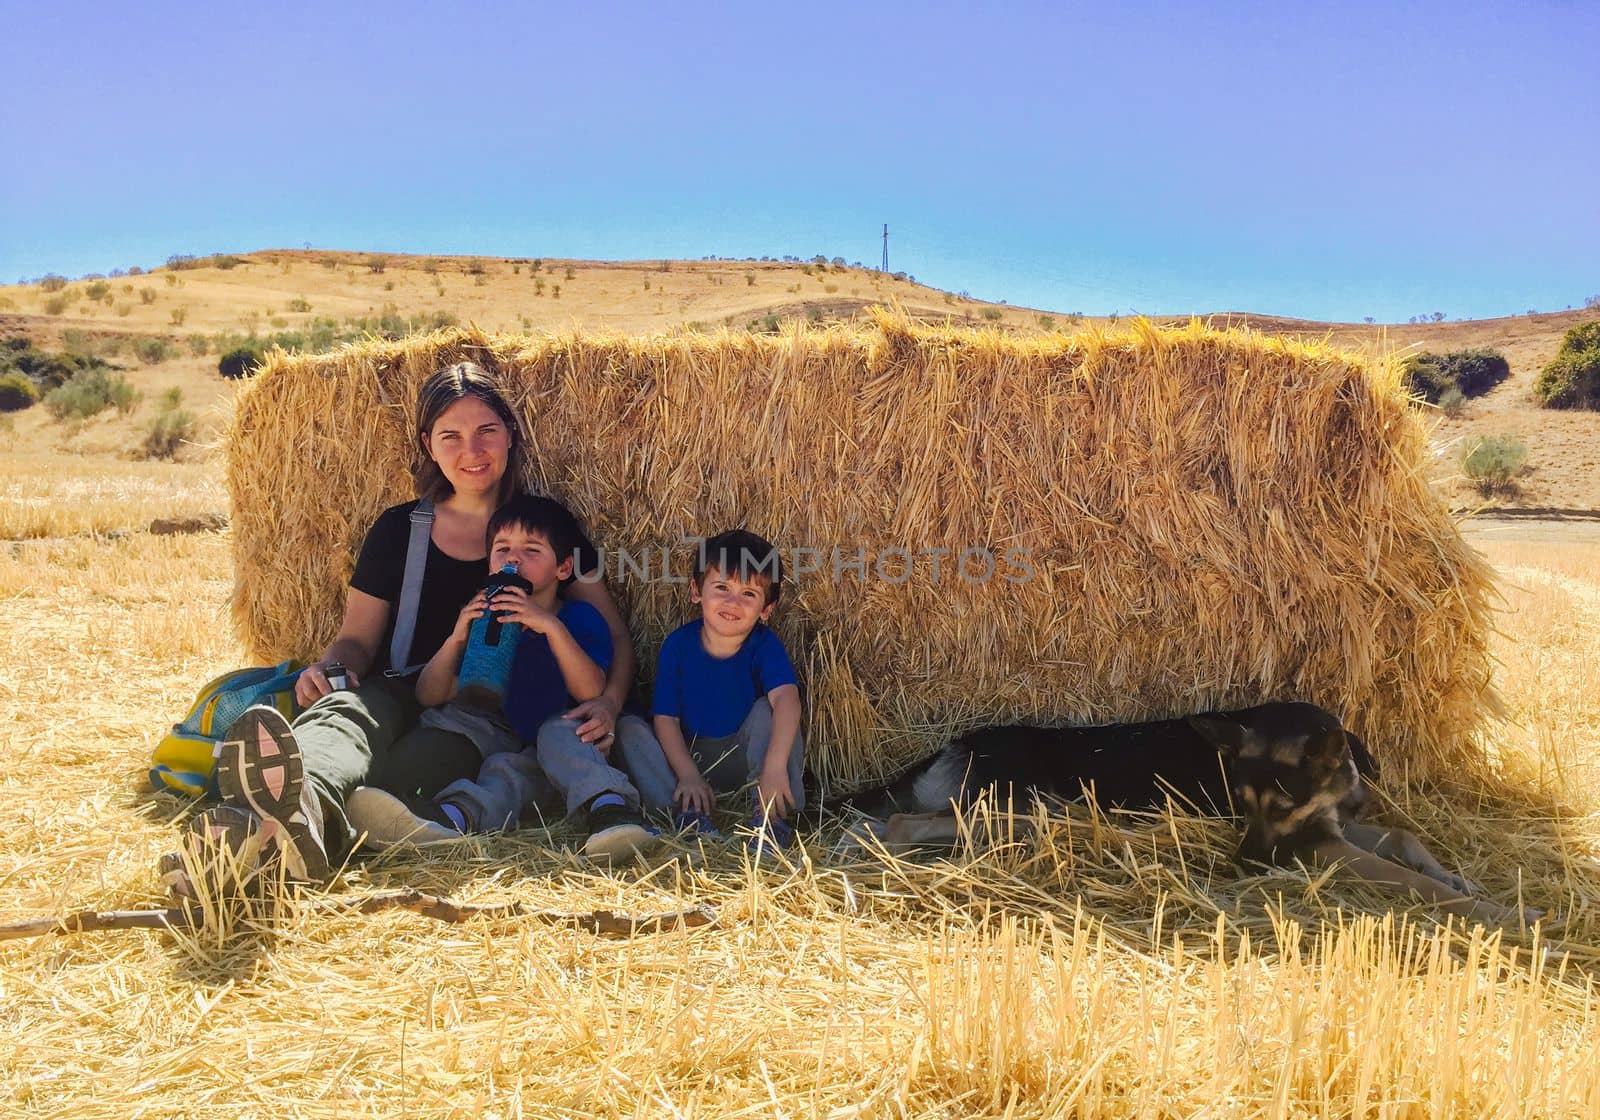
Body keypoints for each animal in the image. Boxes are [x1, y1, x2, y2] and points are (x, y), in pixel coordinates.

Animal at [851, 700, 1536, 928]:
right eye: (1243, 802)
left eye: (1279, 803)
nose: (1247, 866)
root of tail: (948, 746)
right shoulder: (1317, 847)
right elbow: (1410, 878)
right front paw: (1506, 912)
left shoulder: (1325, 831)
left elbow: (1402, 834)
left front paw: (1456, 875)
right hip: (1029, 808)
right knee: (907, 824)